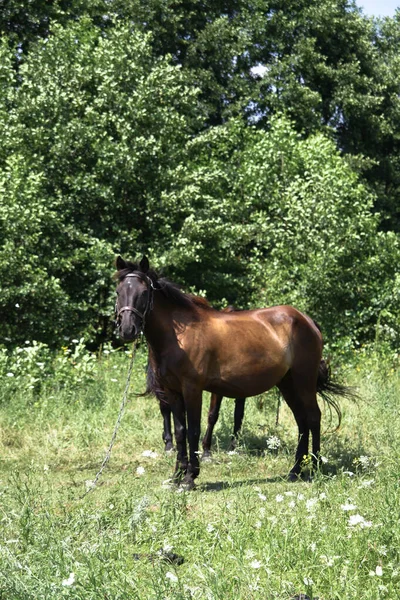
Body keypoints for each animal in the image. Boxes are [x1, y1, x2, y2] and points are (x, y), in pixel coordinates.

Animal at [115, 256, 350, 488]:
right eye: (118, 292)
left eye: (144, 292)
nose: (127, 330)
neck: (179, 336)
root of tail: (307, 320)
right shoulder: (172, 391)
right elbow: (180, 431)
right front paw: (176, 477)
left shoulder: (192, 389)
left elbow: (193, 430)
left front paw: (190, 478)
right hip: (287, 384)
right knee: (302, 420)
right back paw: (295, 471)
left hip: (304, 381)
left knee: (313, 417)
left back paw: (316, 468)